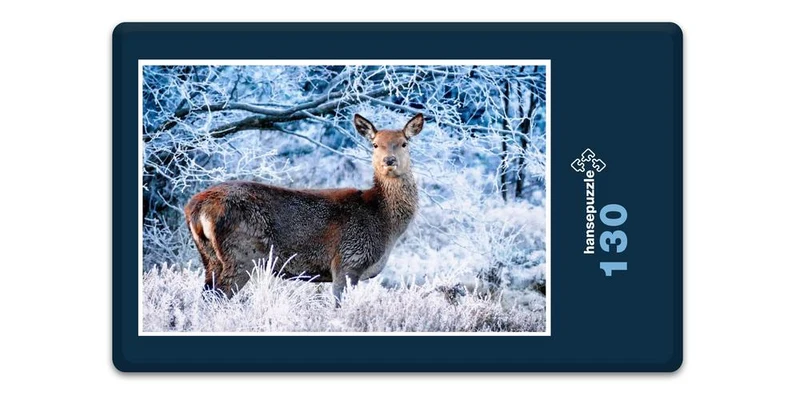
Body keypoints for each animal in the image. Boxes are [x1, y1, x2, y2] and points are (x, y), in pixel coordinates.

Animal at [184, 113, 424, 306]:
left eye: (404, 143)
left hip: (210, 257)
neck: (384, 222)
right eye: (374, 144)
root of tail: (195, 208)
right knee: (217, 298)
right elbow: (338, 305)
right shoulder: (348, 260)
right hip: (242, 255)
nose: (389, 161)